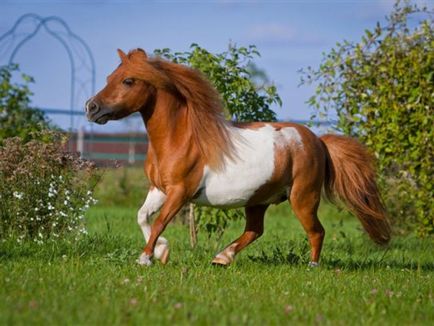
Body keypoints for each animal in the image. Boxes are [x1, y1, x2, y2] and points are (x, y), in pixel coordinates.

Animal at [86, 49, 392, 268]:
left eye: (128, 80)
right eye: (109, 78)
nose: (91, 107)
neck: (180, 138)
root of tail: (317, 141)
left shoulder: (180, 192)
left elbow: (160, 221)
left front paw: (146, 258)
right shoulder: (159, 189)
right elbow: (142, 216)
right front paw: (161, 252)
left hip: (303, 197)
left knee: (316, 231)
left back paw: (312, 266)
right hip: (258, 199)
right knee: (255, 230)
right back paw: (222, 258)